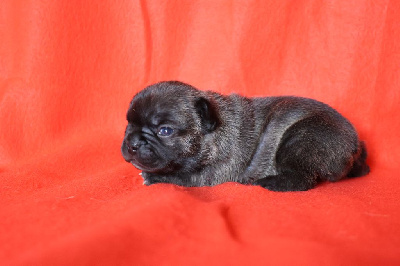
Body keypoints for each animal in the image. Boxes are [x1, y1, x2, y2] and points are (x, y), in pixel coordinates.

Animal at [121, 81, 368, 191]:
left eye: (164, 131)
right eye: (128, 124)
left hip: (300, 139)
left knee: (302, 179)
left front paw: (152, 177)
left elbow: (178, 177)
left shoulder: (207, 176)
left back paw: (269, 182)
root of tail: (355, 146)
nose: (132, 143)